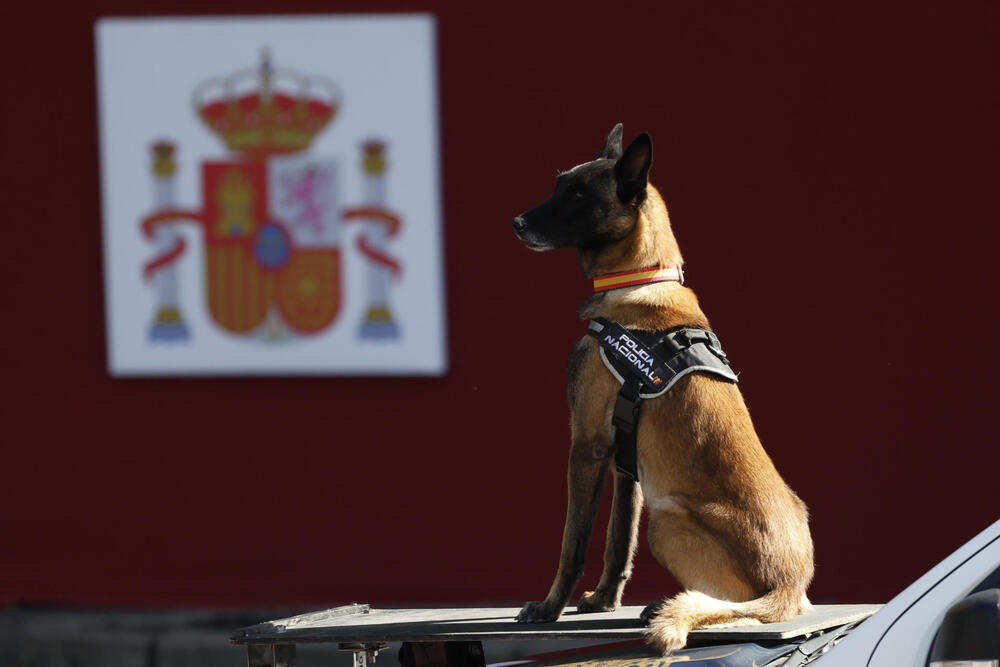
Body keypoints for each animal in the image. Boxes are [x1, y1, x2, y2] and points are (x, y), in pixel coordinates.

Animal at [508, 124, 812, 652]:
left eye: (578, 195)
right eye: (560, 184)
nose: (517, 223)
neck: (639, 278)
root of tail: (789, 586)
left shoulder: (587, 446)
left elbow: (574, 542)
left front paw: (548, 608)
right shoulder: (623, 461)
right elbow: (616, 541)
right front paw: (603, 600)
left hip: (667, 519)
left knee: (734, 605)